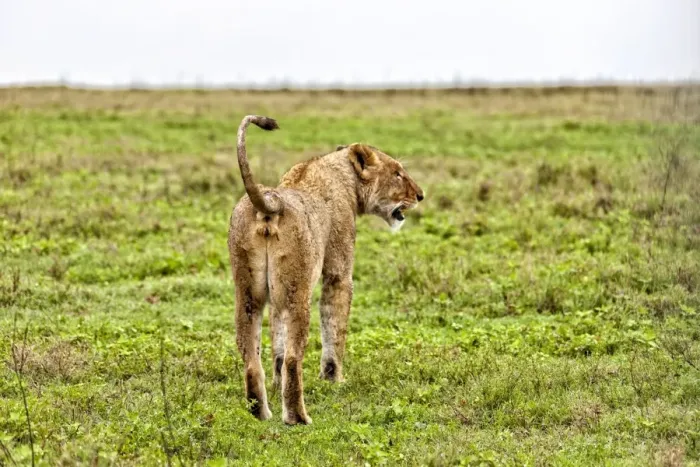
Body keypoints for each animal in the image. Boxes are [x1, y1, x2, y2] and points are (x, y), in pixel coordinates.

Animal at [228, 115, 424, 425]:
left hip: (248, 294)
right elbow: (335, 327)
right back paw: (297, 417)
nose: (421, 195)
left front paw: (277, 380)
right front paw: (334, 379)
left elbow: (277, 343)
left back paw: (260, 412)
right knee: (294, 357)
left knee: (251, 358)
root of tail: (269, 202)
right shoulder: (338, 272)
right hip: (298, 293)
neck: (339, 172)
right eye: (397, 173)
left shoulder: (275, 296)